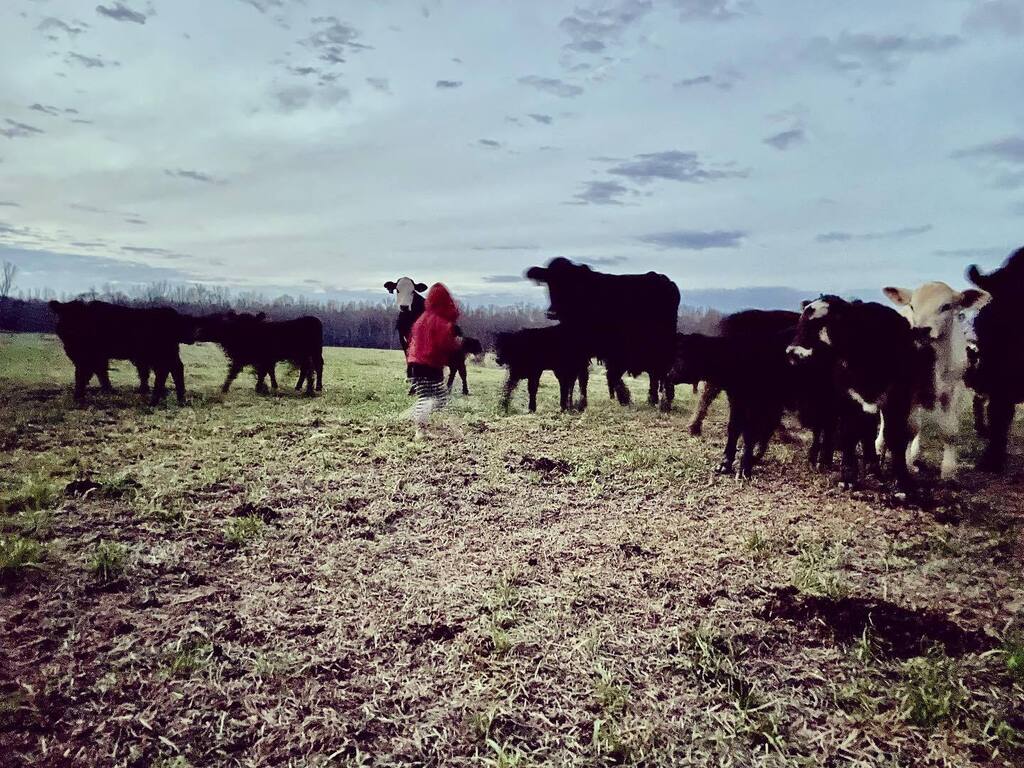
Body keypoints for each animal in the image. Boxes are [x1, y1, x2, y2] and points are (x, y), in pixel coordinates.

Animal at [48, 300, 196, 405]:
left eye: (78, 318)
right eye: (63, 315)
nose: (68, 330)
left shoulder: (88, 357)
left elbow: (82, 375)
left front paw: (78, 396)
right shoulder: (95, 358)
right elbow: (100, 373)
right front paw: (108, 391)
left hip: (163, 353)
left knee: (171, 370)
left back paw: (163, 399)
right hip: (165, 354)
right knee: (171, 370)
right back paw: (173, 398)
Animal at [525, 258, 679, 411]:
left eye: (570, 283)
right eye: (549, 282)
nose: (552, 312)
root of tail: (662, 278)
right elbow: (583, 376)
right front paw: (579, 403)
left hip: (661, 343)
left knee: (660, 372)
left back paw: (662, 402)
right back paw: (654, 400)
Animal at [786, 296, 935, 492]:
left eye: (818, 324)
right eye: (800, 322)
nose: (791, 352)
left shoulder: (898, 399)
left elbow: (894, 436)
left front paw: (903, 482)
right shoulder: (847, 398)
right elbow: (849, 433)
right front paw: (848, 476)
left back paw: (871, 466)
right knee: (825, 426)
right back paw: (821, 460)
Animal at [882, 282, 990, 479]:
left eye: (946, 306)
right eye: (913, 306)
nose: (920, 330)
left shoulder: (953, 391)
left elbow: (949, 430)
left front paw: (948, 471)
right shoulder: (911, 391)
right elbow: (910, 427)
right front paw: (907, 464)